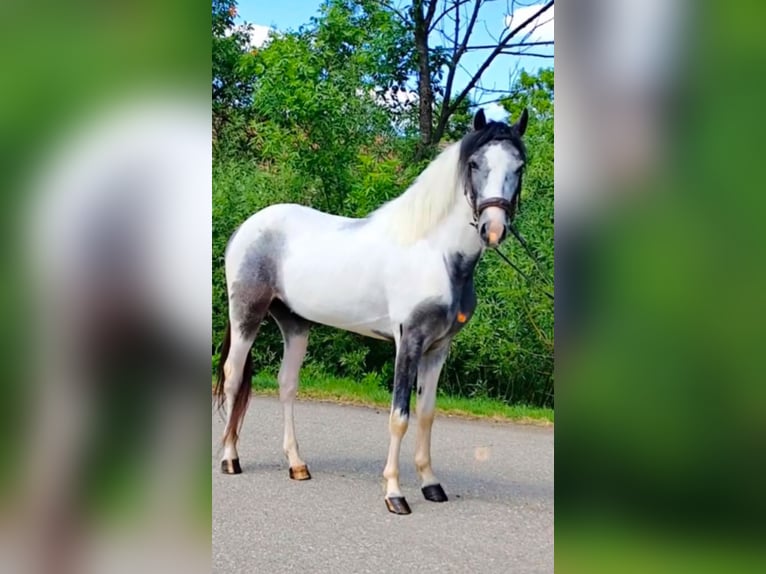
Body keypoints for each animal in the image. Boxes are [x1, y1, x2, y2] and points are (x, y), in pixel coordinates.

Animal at [214, 107, 528, 515]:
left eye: (519, 166)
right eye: (475, 163)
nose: (493, 228)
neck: (435, 252)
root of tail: (246, 227)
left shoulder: (438, 348)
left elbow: (427, 414)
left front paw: (431, 484)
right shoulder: (408, 341)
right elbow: (400, 416)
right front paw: (395, 494)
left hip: (294, 323)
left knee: (286, 385)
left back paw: (297, 465)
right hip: (246, 314)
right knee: (233, 377)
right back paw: (230, 459)